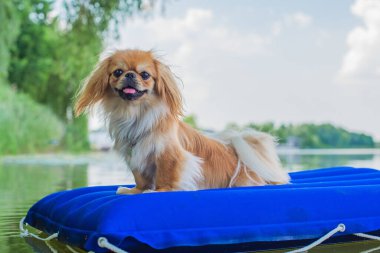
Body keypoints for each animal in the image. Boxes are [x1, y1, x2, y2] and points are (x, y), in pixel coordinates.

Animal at [74, 49, 290, 194]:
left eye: (145, 75)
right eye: (118, 72)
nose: (130, 74)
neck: (135, 114)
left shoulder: (168, 154)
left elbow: (166, 175)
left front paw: (160, 190)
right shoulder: (135, 155)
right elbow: (140, 177)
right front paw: (135, 191)